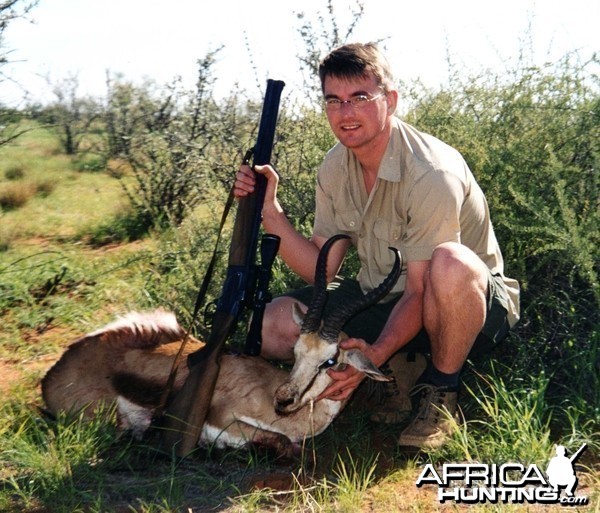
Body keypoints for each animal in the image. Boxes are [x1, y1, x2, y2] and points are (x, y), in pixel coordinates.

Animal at [41, 234, 398, 454]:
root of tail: (52, 374)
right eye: (296, 351)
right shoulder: (225, 420)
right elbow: (283, 444)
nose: (283, 399)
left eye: (330, 360)